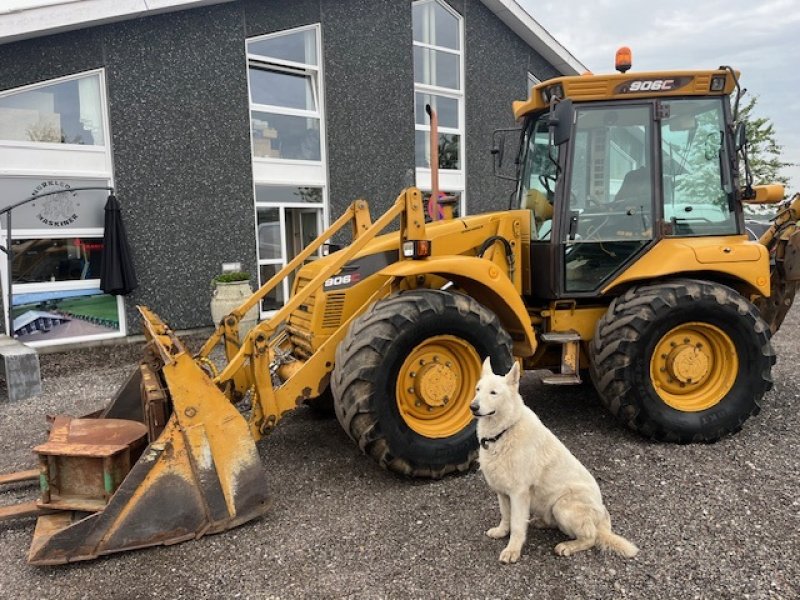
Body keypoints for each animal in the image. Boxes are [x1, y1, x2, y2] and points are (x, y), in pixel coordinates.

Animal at [472, 360, 640, 564]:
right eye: (478, 389)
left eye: (493, 393)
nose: (472, 407)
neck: (503, 432)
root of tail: (602, 519)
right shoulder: (503, 493)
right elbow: (506, 516)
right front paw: (502, 532)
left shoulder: (519, 494)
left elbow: (517, 525)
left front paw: (512, 550)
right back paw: (540, 522)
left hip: (562, 506)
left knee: (590, 538)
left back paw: (567, 546)